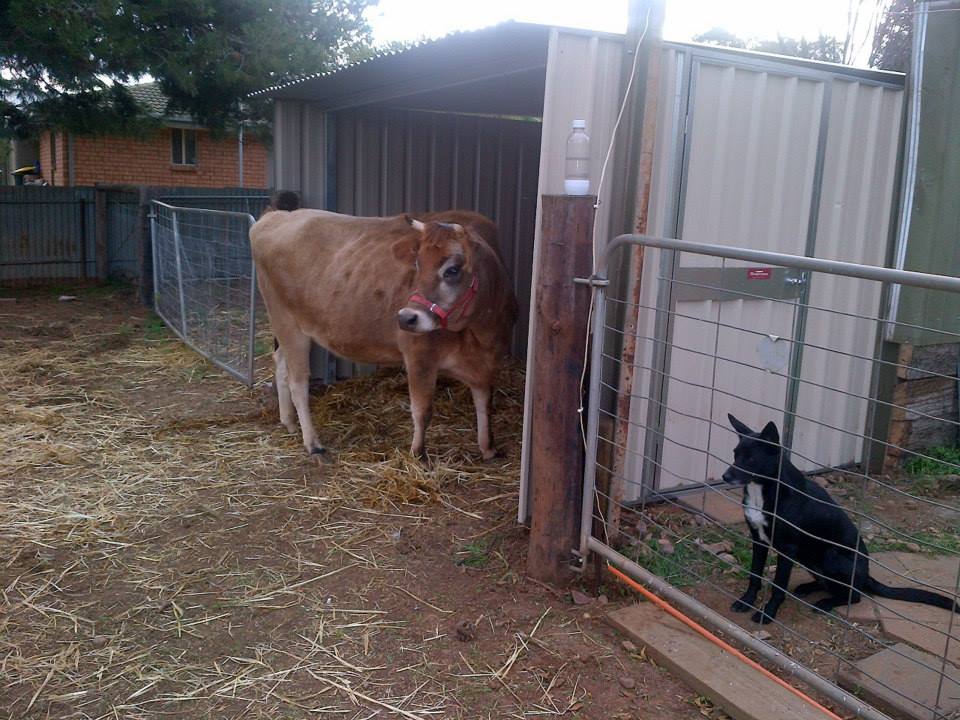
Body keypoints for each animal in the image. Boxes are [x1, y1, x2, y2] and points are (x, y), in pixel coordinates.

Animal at [250, 198, 517, 461]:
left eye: (452, 270)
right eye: (417, 265)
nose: (406, 317)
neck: (480, 336)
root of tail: (276, 216)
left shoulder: (487, 364)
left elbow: (485, 405)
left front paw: (488, 449)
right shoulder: (419, 356)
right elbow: (422, 410)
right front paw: (418, 454)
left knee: (281, 364)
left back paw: (289, 422)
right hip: (286, 321)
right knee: (298, 381)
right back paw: (313, 444)